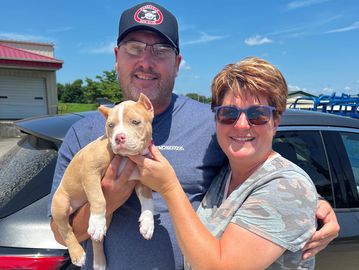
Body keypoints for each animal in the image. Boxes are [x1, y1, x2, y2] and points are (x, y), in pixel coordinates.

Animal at [51, 93, 155, 270]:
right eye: (111, 125)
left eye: (135, 122)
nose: (119, 138)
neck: (125, 157)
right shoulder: (90, 173)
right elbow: (98, 198)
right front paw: (97, 220)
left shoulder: (140, 179)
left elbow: (148, 201)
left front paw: (148, 223)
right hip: (60, 204)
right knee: (66, 229)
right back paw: (78, 252)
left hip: (109, 216)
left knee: (96, 239)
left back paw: (99, 261)